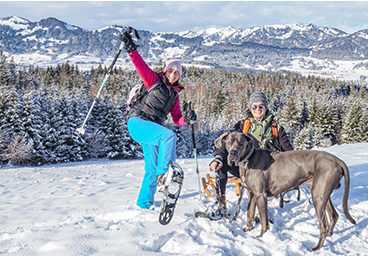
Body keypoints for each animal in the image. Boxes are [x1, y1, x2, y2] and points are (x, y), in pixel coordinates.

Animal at [216, 131, 356, 251]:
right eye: (229, 142)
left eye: (241, 143)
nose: (233, 153)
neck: (248, 160)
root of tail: (337, 160)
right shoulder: (252, 193)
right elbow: (249, 213)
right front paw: (248, 229)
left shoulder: (261, 195)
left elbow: (263, 218)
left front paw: (261, 236)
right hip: (323, 193)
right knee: (334, 215)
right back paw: (328, 235)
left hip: (318, 196)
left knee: (323, 225)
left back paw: (317, 247)